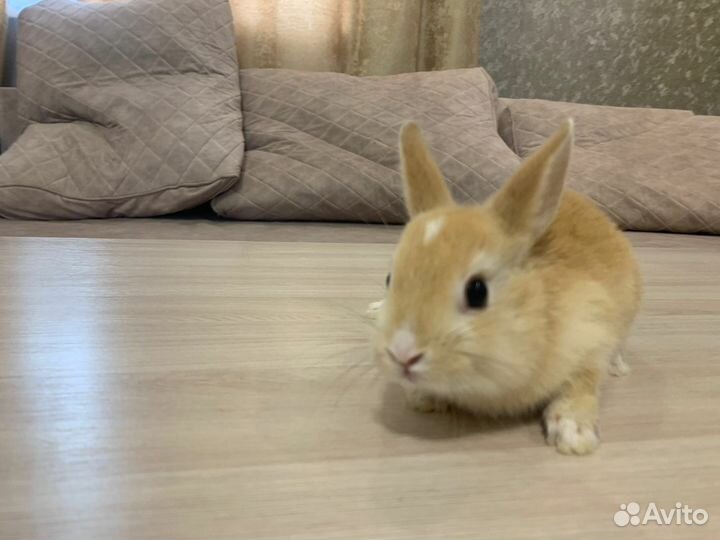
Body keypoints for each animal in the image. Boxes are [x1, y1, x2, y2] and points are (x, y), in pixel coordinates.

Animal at [371, 120, 642, 455]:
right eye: (389, 279)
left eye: (477, 291)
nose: (402, 354)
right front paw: (423, 398)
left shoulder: (592, 334)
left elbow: (583, 383)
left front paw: (573, 435)